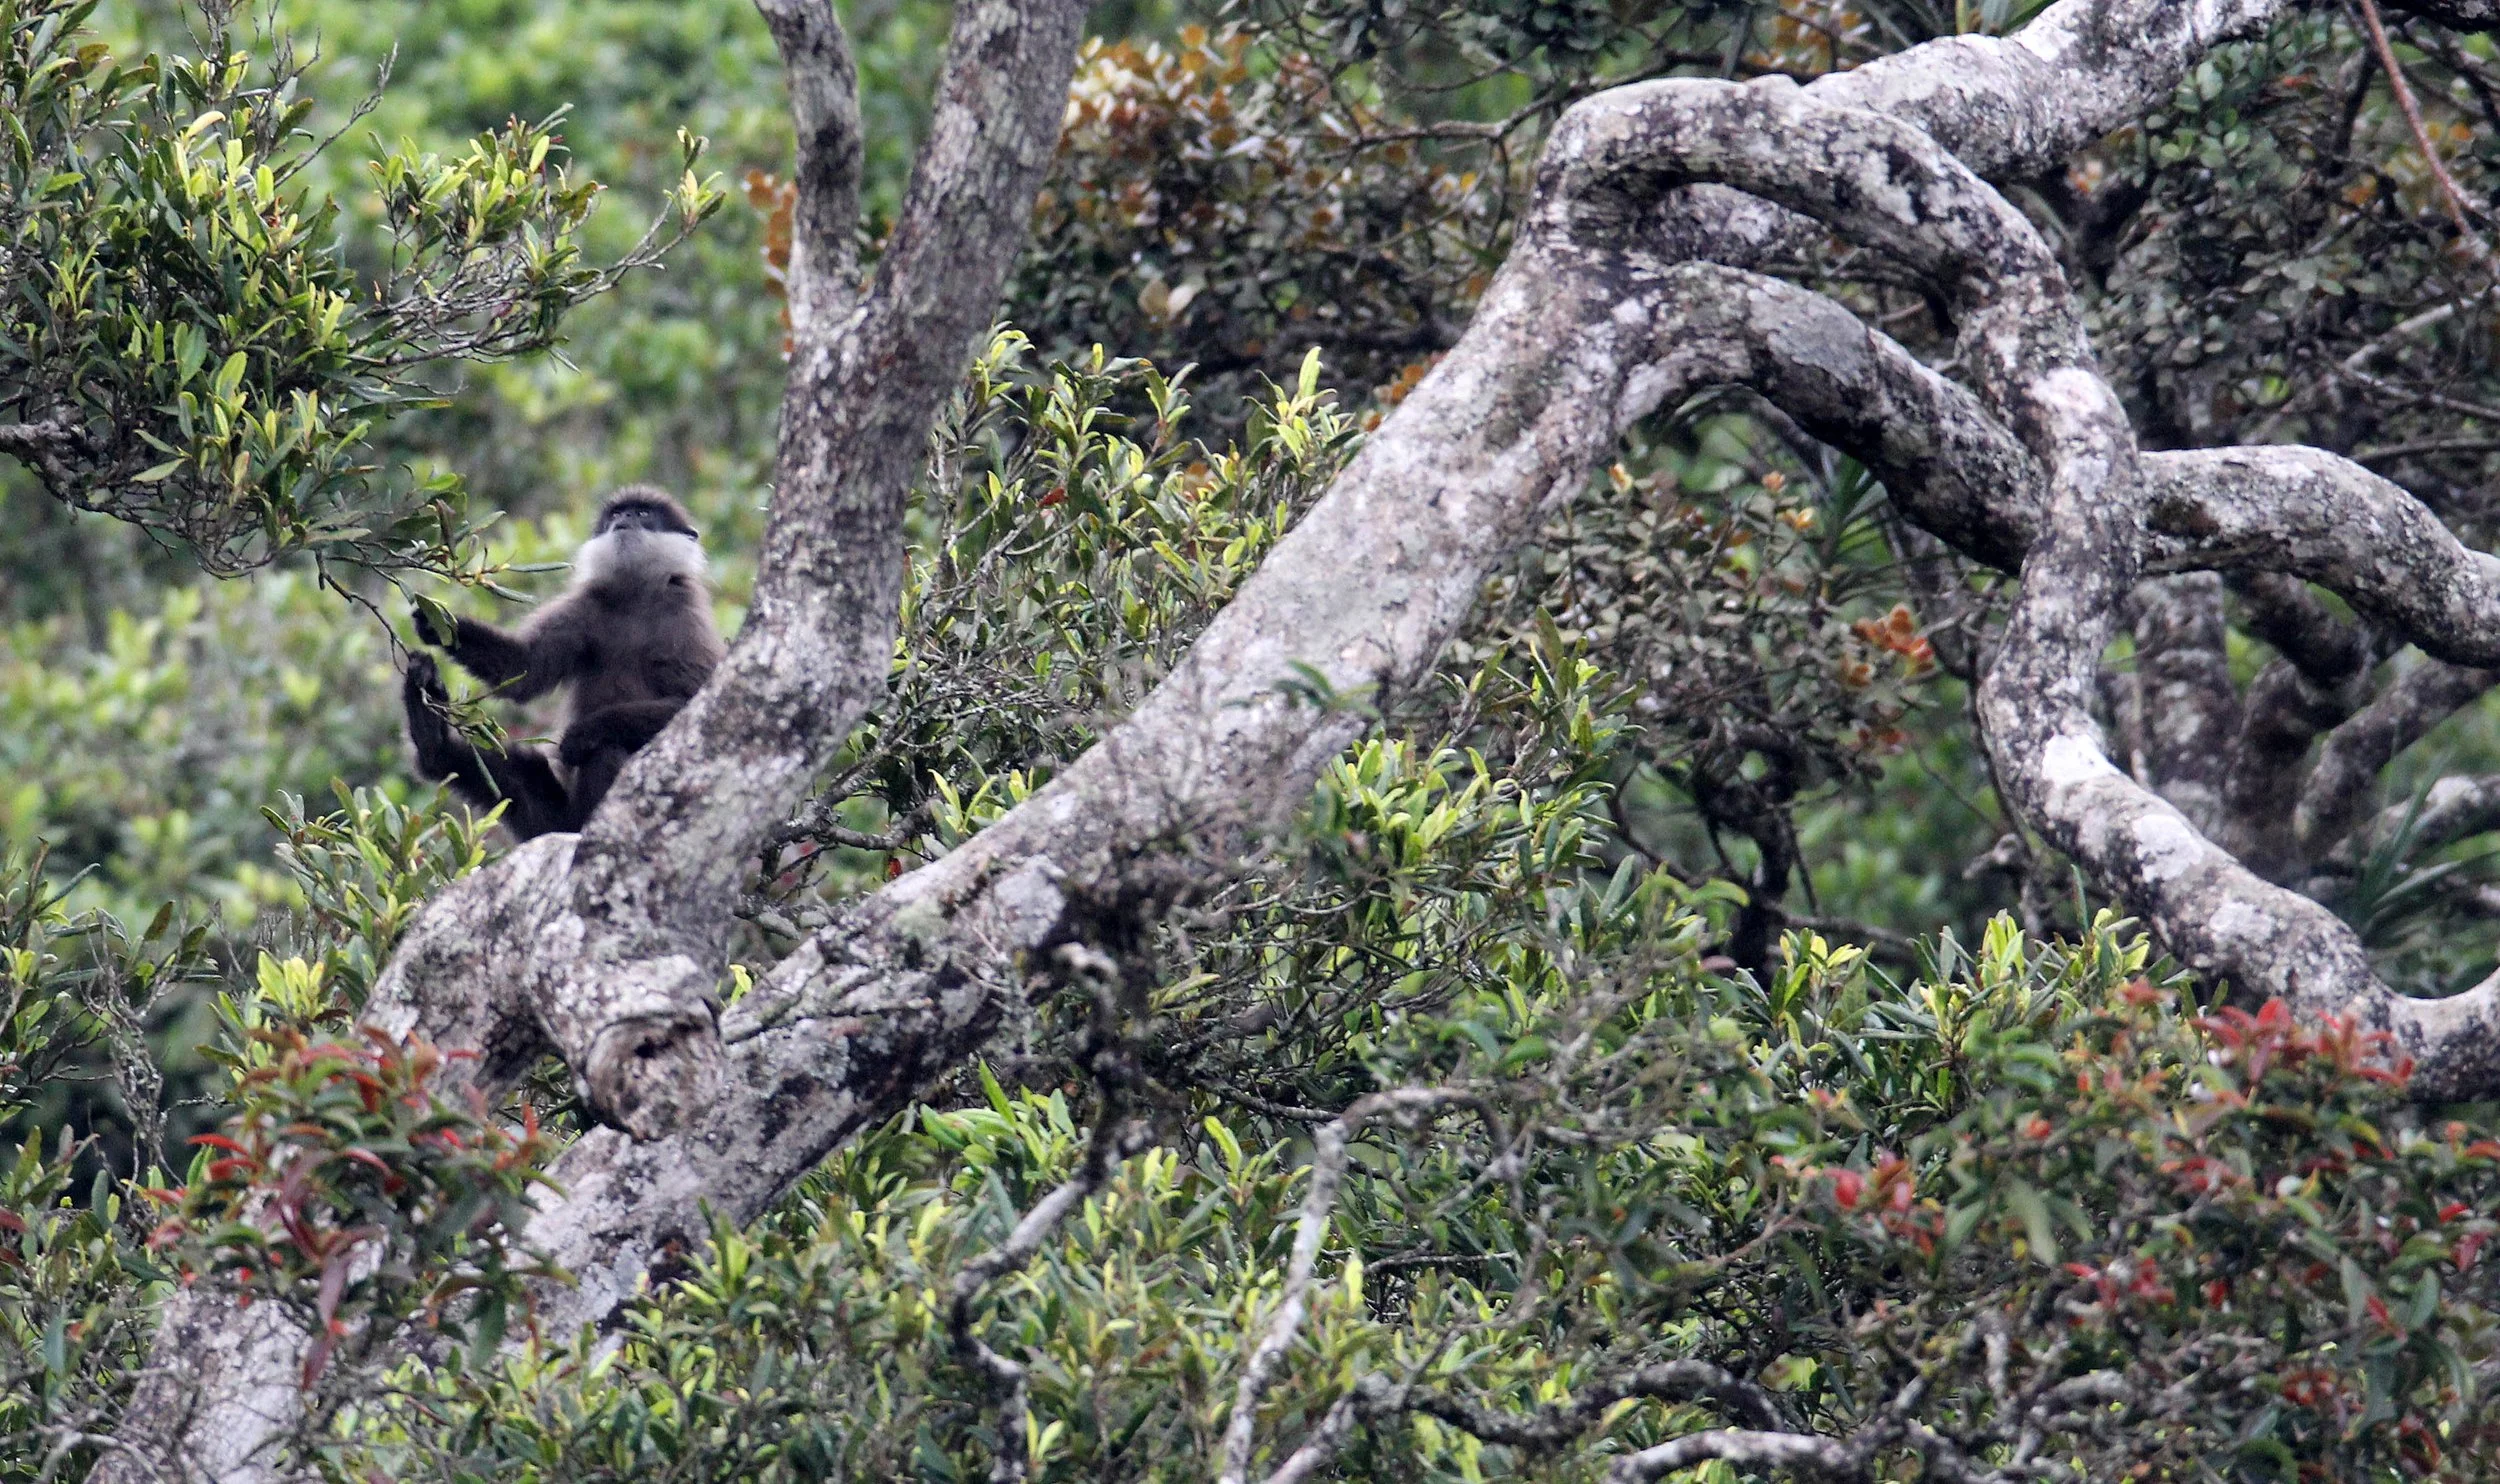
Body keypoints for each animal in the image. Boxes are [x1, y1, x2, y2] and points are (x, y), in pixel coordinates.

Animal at [403, 485, 726, 839]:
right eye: (617, 513)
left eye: (643, 513)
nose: (625, 517)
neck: (635, 597)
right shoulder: (586, 604)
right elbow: (523, 669)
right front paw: (439, 623)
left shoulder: (683, 613)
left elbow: (691, 703)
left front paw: (586, 729)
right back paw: (433, 741)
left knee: (606, 748)